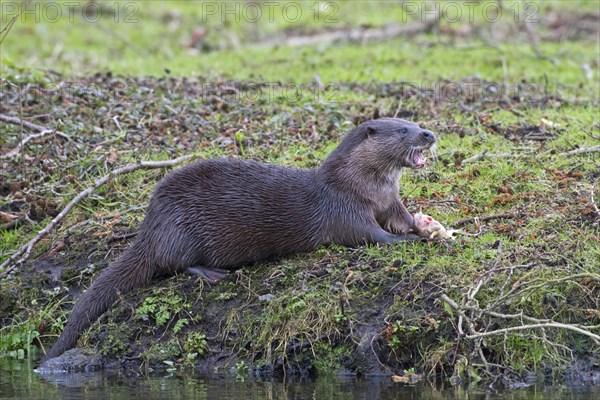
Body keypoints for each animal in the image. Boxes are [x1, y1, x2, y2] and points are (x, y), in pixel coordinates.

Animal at [41, 118, 436, 362]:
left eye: (416, 123)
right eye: (403, 130)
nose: (429, 134)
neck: (362, 186)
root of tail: (149, 226)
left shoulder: (390, 201)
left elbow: (403, 219)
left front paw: (426, 229)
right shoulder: (344, 208)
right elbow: (368, 235)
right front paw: (407, 242)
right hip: (179, 231)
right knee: (173, 264)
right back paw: (212, 273)